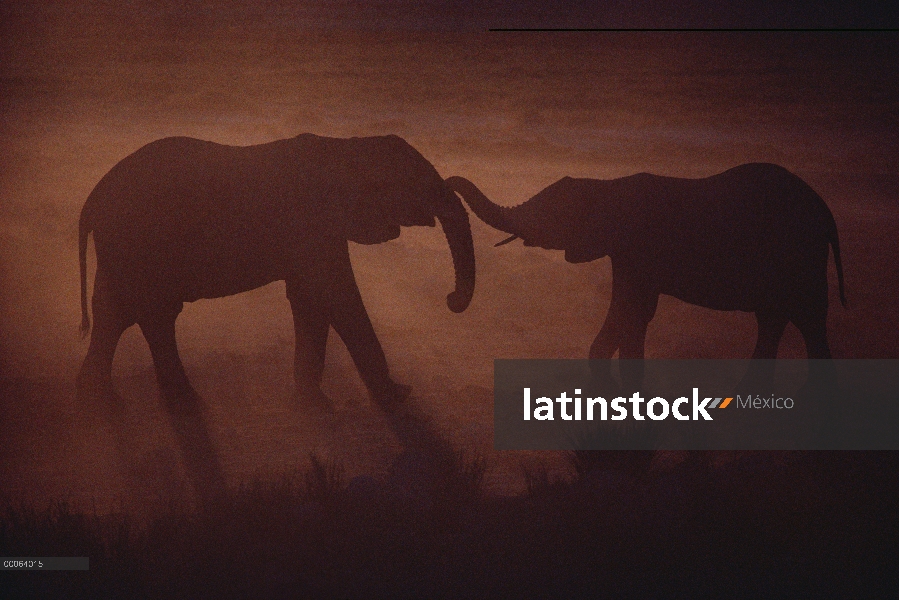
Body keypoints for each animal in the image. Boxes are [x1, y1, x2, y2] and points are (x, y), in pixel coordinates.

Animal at [450, 162, 852, 382]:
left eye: (552, 215)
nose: (448, 181)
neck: (606, 187)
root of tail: (825, 211)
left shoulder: (639, 249)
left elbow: (633, 310)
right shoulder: (625, 254)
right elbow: (628, 310)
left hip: (800, 257)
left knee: (807, 318)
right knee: (775, 318)